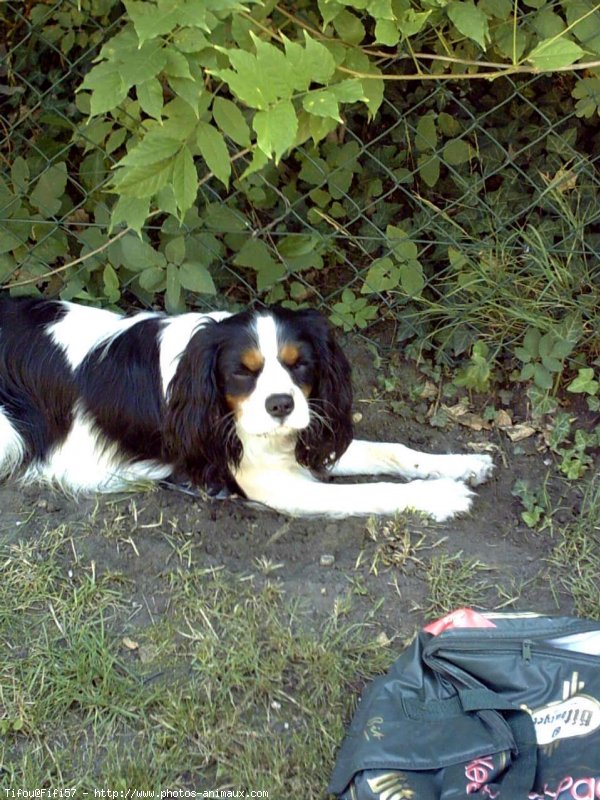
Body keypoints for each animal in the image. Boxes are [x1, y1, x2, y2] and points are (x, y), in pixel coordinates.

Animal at [0, 298, 492, 520]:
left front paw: (461, 464)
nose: (281, 404)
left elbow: (392, 450)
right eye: (243, 371)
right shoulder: (276, 483)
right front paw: (439, 495)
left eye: (300, 364)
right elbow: (372, 491)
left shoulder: (301, 438)